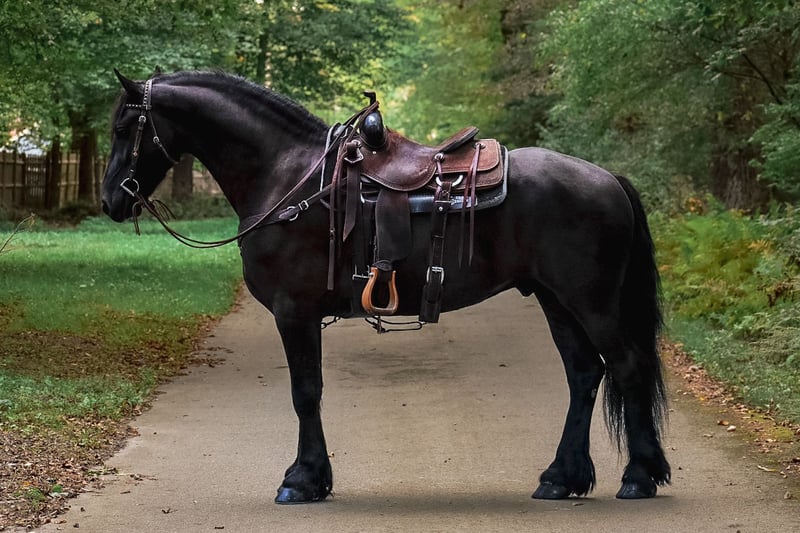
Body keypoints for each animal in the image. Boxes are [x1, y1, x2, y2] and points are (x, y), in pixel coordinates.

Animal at [101, 70, 670, 504]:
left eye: (126, 126)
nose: (110, 200)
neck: (289, 177)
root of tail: (608, 178)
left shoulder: (294, 311)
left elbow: (305, 393)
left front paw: (302, 480)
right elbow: (310, 392)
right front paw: (314, 478)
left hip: (591, 301)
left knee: (626, 367)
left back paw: (639, 477)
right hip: (555, 301)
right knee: (584, 374)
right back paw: (561, 478)